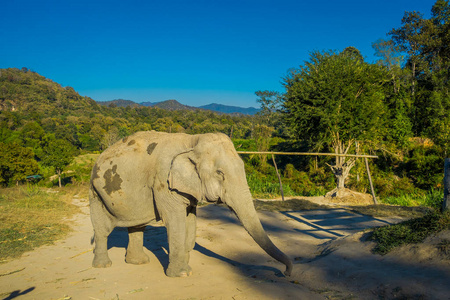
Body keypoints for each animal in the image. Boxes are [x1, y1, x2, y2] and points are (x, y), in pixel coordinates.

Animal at [89, 131, 294, 276]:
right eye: (220, 173)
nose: (286, 273)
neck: (192, 140)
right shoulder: (163, 180)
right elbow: (175, 220)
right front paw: (182, 274)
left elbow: (190, 218)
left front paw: (186, 262)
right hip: (95, 191)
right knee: (102, 229)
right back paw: (103, 265)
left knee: (137, 226)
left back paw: (138, 262)